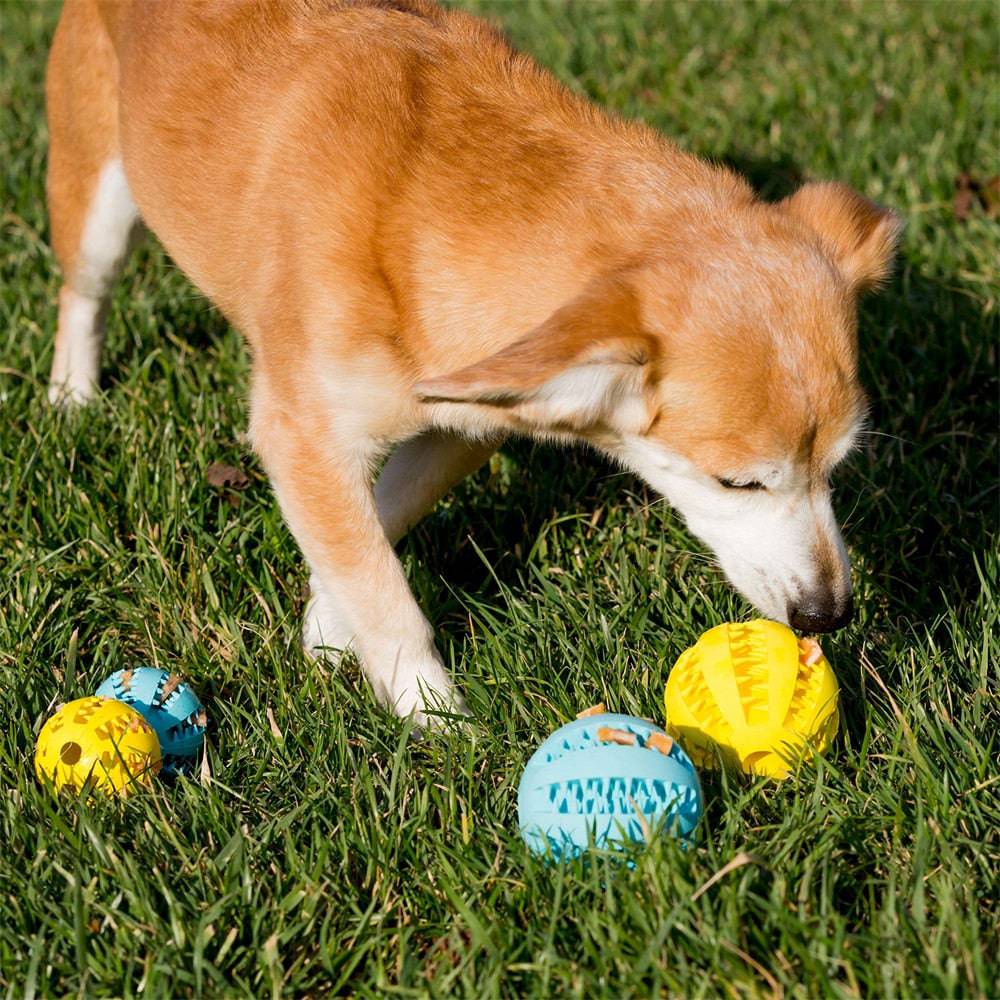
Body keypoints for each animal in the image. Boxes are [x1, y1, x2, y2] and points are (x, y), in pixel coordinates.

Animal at [45, 0, 900, 724]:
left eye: (838, 468)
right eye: (738, 483)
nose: (828, 614)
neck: (420, 205)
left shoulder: (462, 425)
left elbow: (375, 527)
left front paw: (327, 627)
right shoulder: (300, 431)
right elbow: (384, 590)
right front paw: (434, 719)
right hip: (97, 204)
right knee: (81, 295)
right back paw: (71, 396)